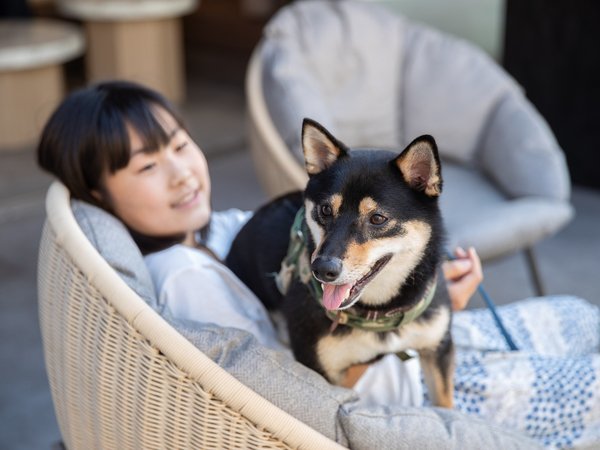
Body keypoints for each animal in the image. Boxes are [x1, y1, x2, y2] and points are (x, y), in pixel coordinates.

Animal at [226, 119, 454, 408]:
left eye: (377, 218)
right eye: (325, 210)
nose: (322, 270)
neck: (378, 313)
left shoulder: (438, 347)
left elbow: (446, 406)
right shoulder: (323, 374)